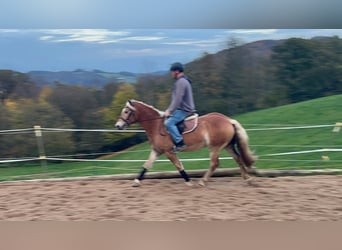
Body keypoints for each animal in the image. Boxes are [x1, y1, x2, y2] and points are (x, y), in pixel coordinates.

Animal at [115, 98, 256, 187]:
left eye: (126, 111)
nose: (118, 126)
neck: (155, 125)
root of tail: (228, 120)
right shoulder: (157, 151)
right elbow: (146, 165)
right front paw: (136, 181)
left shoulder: (169, 152)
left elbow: (179, 166)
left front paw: (189, 181)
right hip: (227, 146)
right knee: (238, 159)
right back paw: (248, 179)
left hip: (215, 147)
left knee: (215, 163)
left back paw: (202, 181)